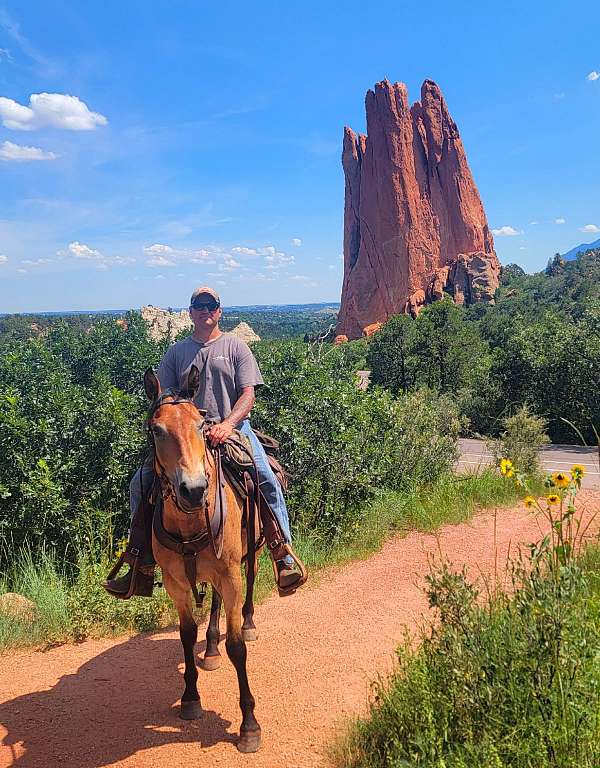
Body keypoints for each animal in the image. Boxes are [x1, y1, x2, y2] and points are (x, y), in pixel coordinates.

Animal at [143, 364, 262, 752]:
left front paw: (249, 725)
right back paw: (210, 648)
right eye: (156, 429)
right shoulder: (177, 584)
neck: (191, 519)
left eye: (201, 424)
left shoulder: (231, 573)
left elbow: (237, 648)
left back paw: (249, 623)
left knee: (249, 585)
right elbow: (185, 635)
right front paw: (190, 698)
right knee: (214, 603)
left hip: (251, 554)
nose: (193, 490)